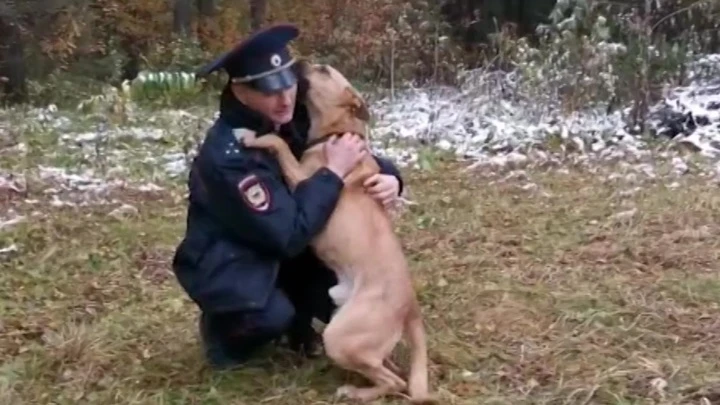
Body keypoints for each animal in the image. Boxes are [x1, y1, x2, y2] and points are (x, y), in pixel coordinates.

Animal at [239, 60, 436, 404]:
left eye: (323, 70)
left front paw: (251, 136)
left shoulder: (302, 179)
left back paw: (356, 392)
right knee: (392, 371)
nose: (298, 61)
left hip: (339, 337)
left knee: (395, 381)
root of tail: (410, 308)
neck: (337, 132)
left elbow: (277, 143)